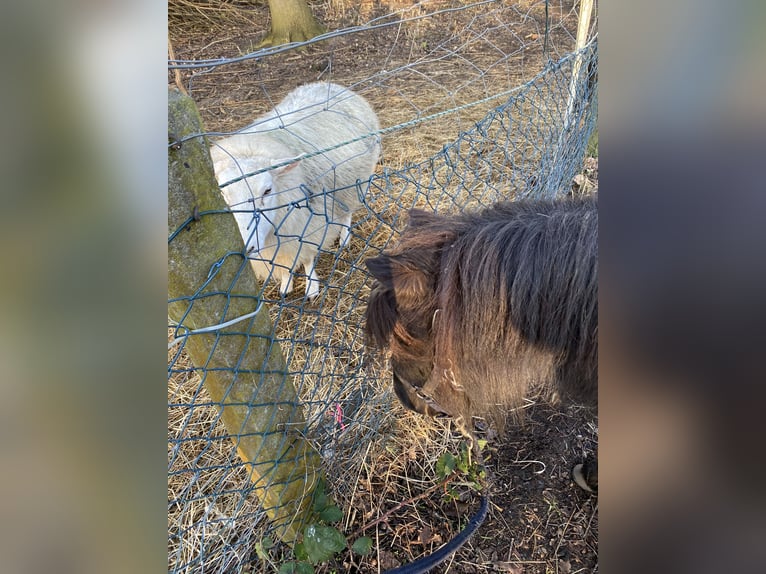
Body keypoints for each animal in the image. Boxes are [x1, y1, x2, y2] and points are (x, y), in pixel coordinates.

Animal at [210, 82, 380, 300]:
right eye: (223, 195)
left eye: (267, 190)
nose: (248, 247)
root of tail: (328, 84)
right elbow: (284, 266)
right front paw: (286, 284)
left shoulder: (307, 224)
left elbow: (307, 258)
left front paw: (312, 287)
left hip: (354, 181)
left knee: (347, 212)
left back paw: (344, 238)